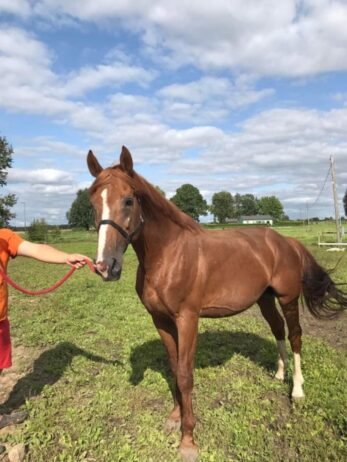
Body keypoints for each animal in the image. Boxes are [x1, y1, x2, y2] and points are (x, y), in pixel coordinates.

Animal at [87, 146, 347, 460]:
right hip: (265, 299)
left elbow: (185, 374)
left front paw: (188, 440)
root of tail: (286, 241)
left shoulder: (187, 319)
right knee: (278, 331)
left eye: (128, 200)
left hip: (288, 298)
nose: (106, 267)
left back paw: (297, 389)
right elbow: (173, 367)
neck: (169, 254)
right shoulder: (160, 320)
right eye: (92, 202)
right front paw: (174, 417)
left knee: (295, 335)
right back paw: (278, 374)